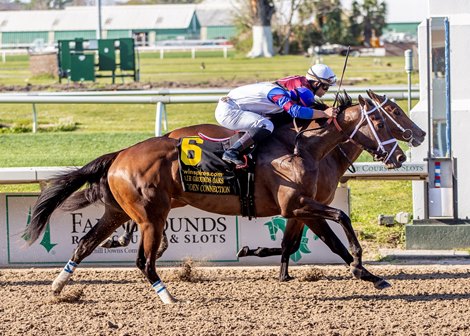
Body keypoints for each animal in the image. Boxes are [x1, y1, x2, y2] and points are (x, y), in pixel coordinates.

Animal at [25, 92, 406, 304]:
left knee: (85, 244)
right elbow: (340, 220)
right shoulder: (297, 205)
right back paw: (167, 297)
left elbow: (312, 242)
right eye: (386, 120)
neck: (303, 146)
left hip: (118, 212)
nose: (403, 154)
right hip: (151, 217)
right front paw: (359, 264)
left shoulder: (301, 208)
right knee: (144, 261)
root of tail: (120, 154)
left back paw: (59, 287)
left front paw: (370, 275)